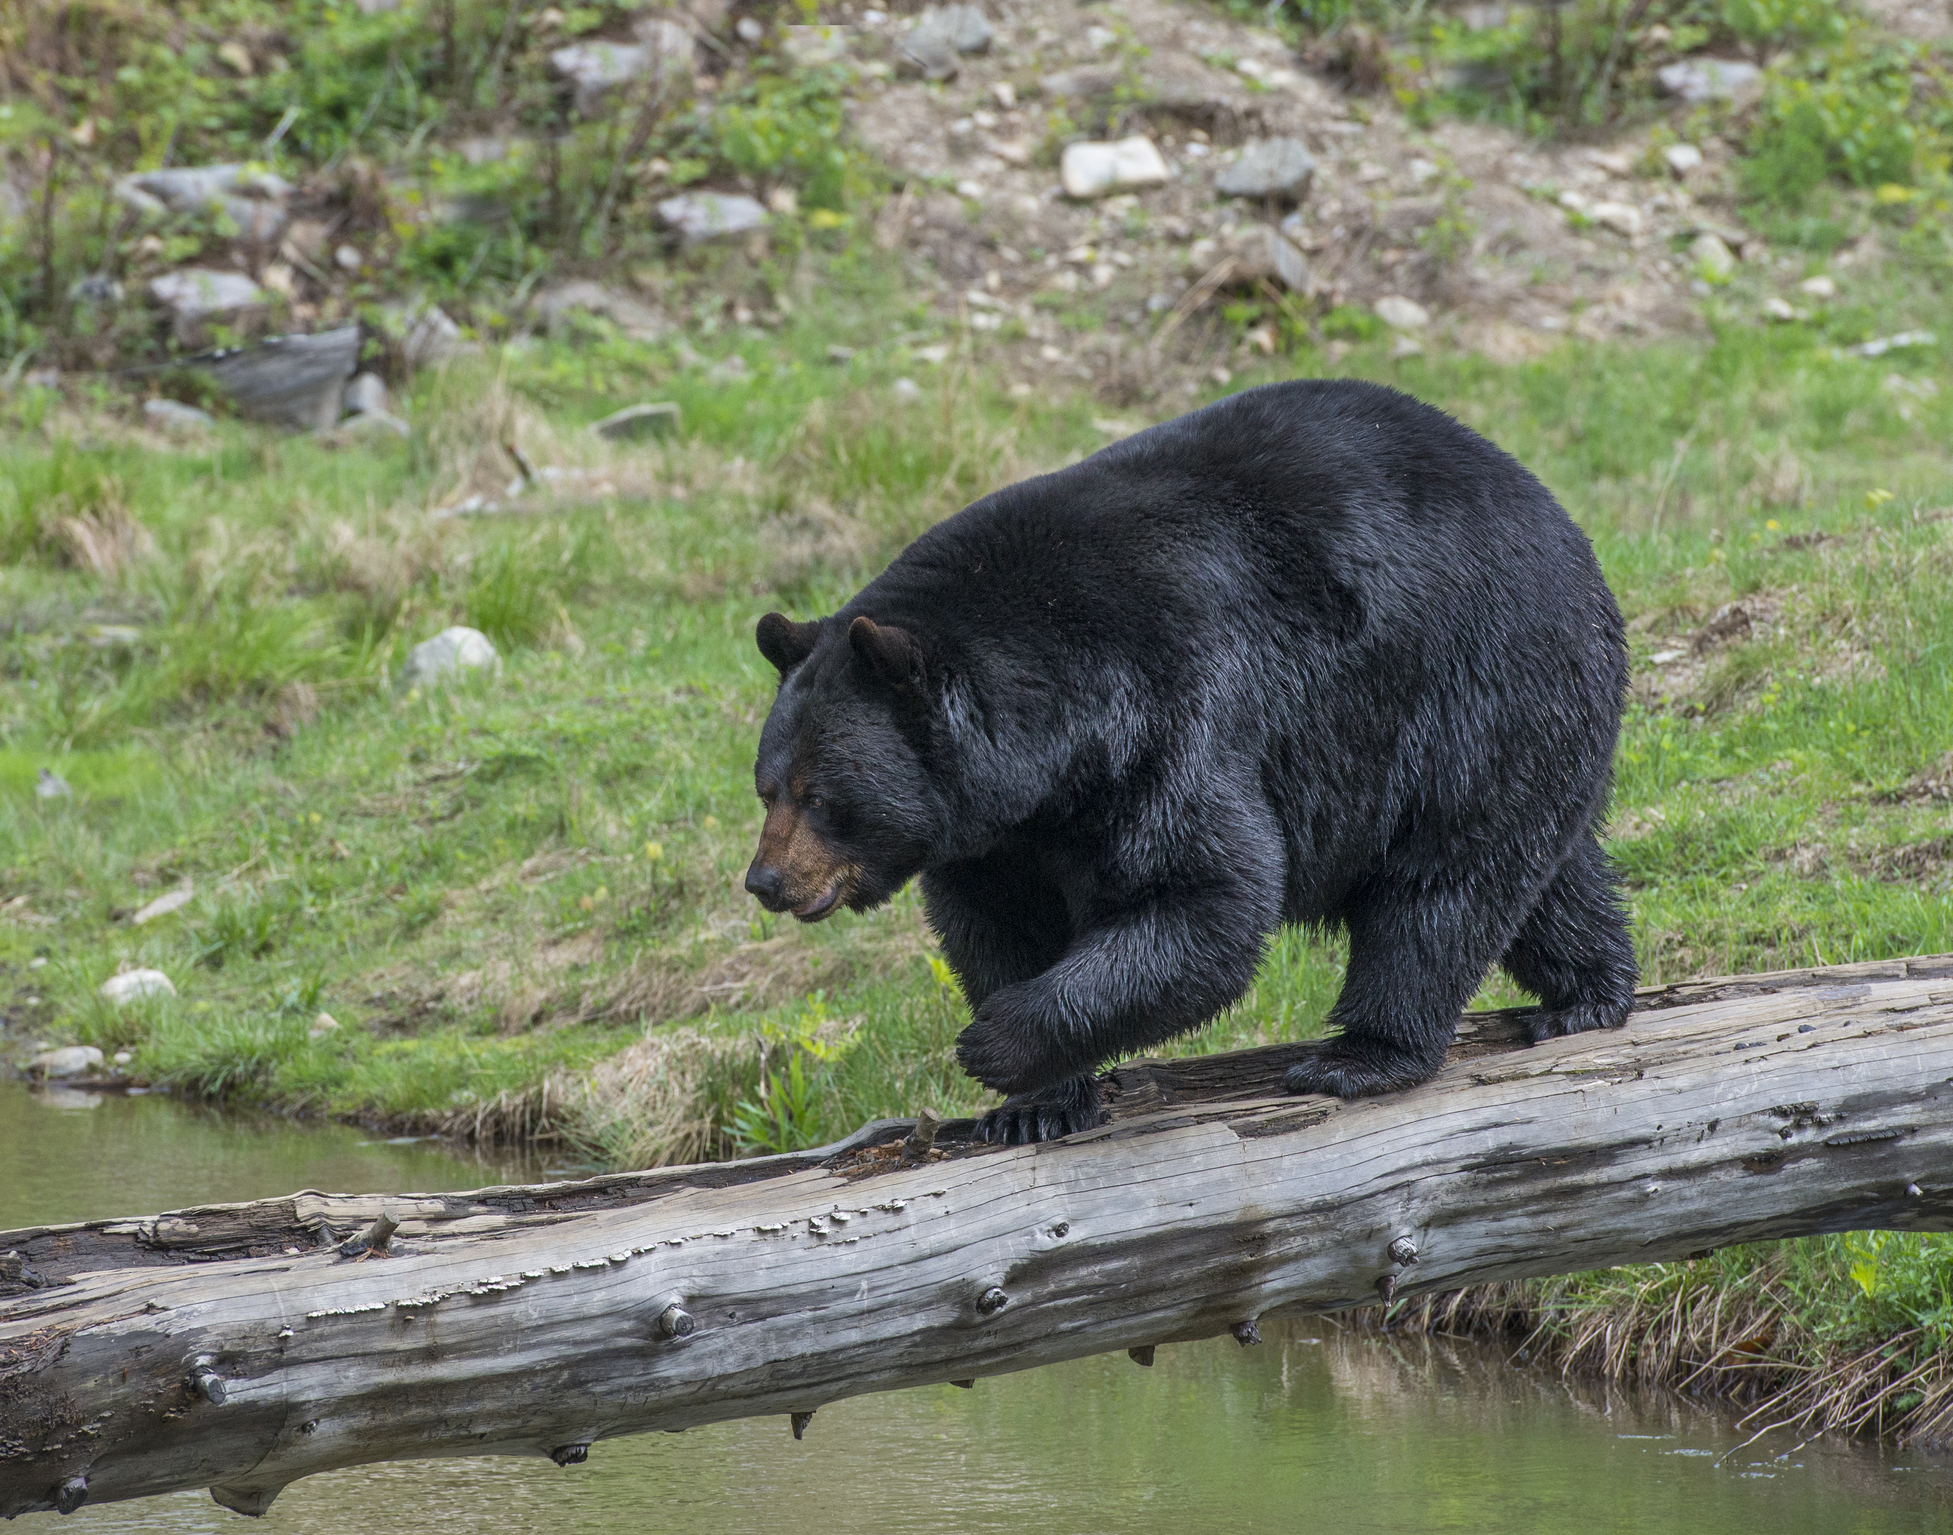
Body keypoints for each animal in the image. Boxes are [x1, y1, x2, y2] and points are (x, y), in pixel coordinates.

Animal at [744, 378, 1637, 1145]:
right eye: (766, 788)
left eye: (820, 795)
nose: (765, 880)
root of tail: (1565, 526)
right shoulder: (995, 835)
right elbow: (996, 923)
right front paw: (1031, 1104)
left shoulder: (1169, 716)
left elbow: (1201, 894)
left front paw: (992, 1042)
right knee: (1541, 872)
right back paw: (1587, 994)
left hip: (1473, 687)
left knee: (1439, 884)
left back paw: (1364, 1054)